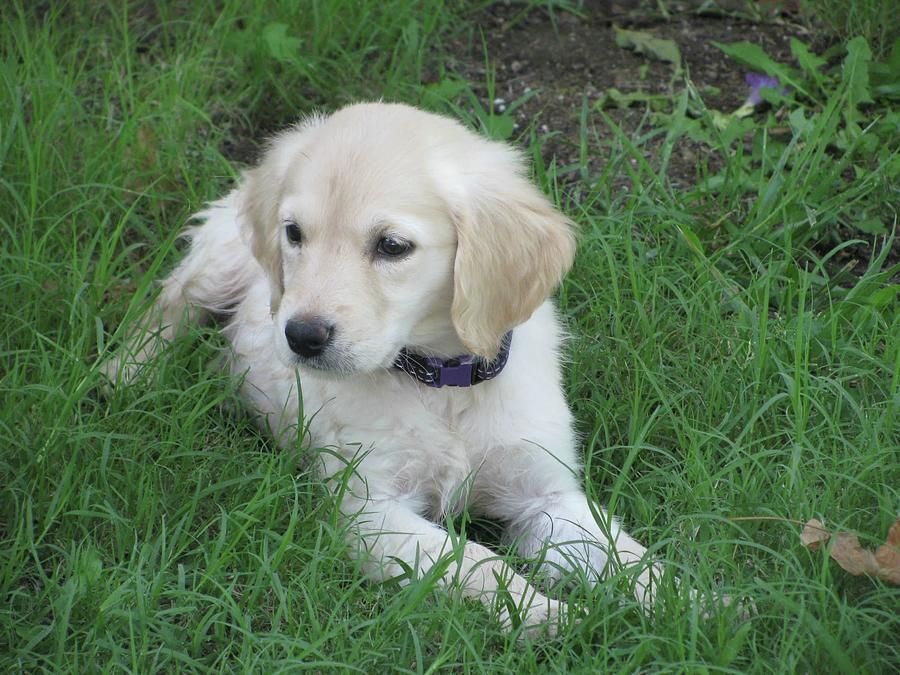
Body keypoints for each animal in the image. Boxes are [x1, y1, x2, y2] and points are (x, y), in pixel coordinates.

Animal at [107, 103, 660, 636]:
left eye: (392, 246)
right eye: (294, 233)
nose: (301, 336)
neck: (440, 380)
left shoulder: (546, 493)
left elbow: (622, 552)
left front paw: (675, 605)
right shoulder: (370, 509)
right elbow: (474, 562)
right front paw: (545, 615)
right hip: (220, 259)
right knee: (171, 304)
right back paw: (124, 376)